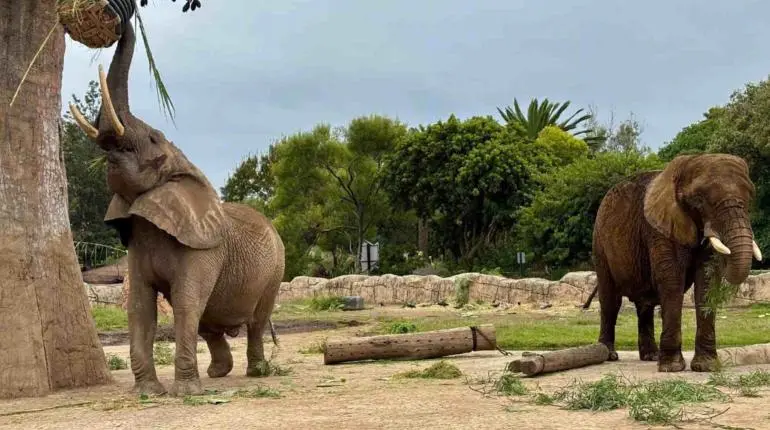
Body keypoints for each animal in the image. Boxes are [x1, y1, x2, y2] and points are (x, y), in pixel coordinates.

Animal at [68, 21, 284, 394]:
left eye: (154, 138)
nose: (125, 17)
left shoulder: (203, 250)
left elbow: (186, 303)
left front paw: (185, 393)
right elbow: (140, 307)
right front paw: (148, 393)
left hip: (276, 269)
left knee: (256, 320)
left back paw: (258, 372)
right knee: (210, 322)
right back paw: (218, 373)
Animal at [592, 153, 760, 372]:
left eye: (750, 197)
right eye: (698, 200)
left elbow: (706, 283)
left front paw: (706, 367)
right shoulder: (660, 228)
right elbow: (672, 281)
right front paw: (672, 368)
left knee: (644, 305)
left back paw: (651, 356)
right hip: (600, 244)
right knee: (610, 301)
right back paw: (609, 355)